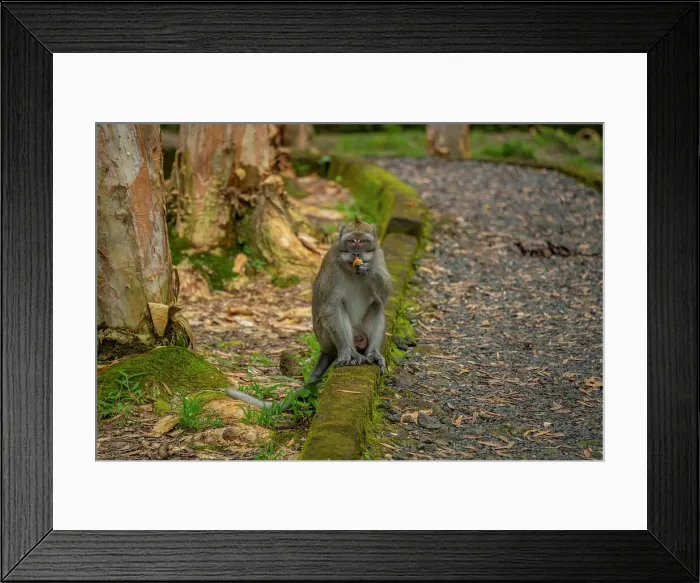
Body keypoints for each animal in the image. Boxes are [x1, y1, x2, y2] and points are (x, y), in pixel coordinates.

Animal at [224, 217, 392, 410]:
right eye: (351, 241)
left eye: (363, 241)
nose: (356, 253)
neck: (350, 267)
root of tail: (326, 349)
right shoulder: (331, 262)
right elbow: (331, 307)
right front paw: (347, 352)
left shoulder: (378, 254)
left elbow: (385, 295)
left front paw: (369, 270)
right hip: (326, 337)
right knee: (336, 309)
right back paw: (350, 351)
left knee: (377, 305)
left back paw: (372, 352)